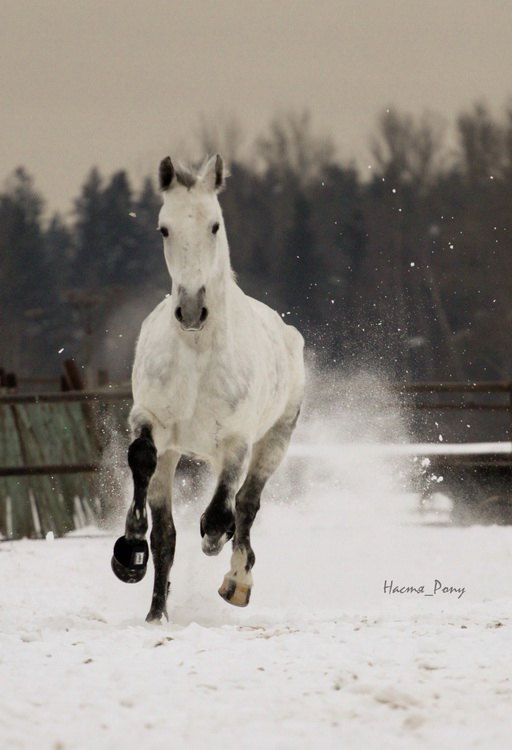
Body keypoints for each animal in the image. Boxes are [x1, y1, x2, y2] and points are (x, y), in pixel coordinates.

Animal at [112, 153, 304, 624]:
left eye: (214, 225)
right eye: (164, 228)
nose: (191, 310)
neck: (198, 355)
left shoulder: (235, 439)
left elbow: (221, 514)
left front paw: (216, 542)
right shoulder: (152, 422)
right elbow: (141, 461)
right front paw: (129, 554)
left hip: (276, 440)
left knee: (248, 504)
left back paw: (237, 582)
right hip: (176, 452)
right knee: (167, 534)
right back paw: (156, 612)